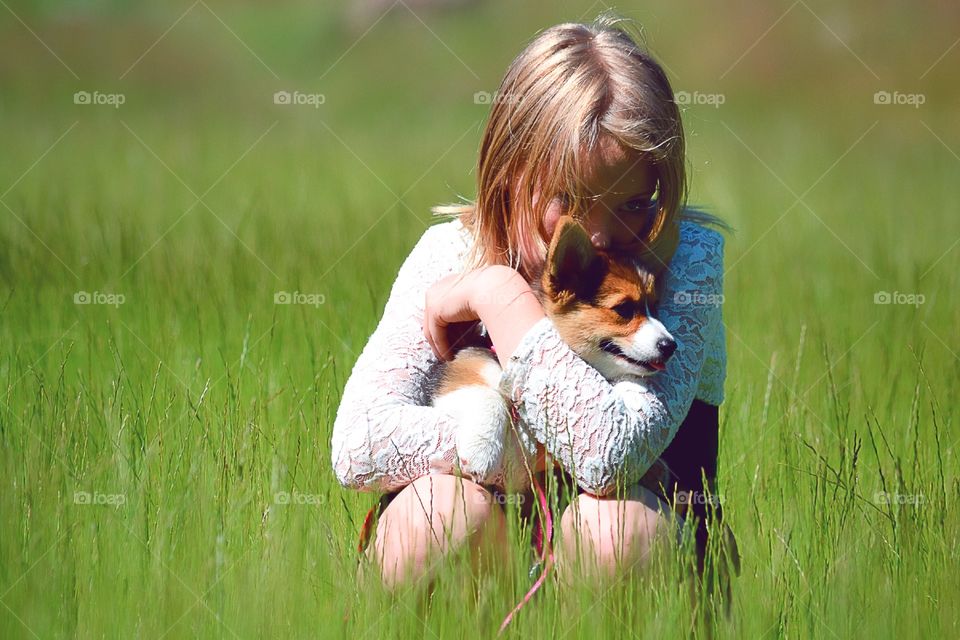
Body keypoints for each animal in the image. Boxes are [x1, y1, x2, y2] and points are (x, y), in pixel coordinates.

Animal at [428, 216, 676, 484]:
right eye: (624, 309)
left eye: (655, 307)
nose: (671, 346)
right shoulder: (457, 379)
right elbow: (488, 395)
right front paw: (481, 452)